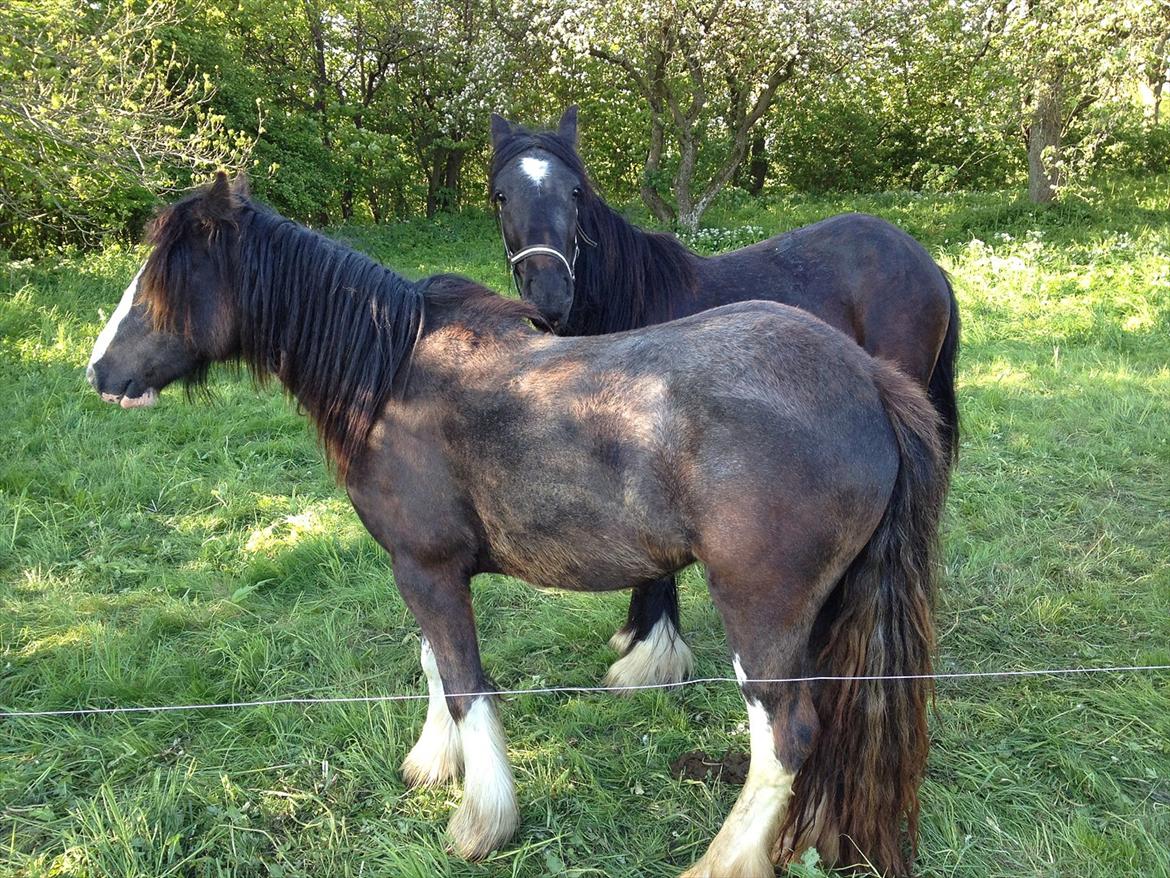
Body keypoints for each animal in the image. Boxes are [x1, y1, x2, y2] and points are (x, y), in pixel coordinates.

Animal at [86, 175, 945, 875]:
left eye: (162, 281)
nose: (99, 370)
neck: (394, 376)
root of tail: (866, 381)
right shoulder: (421, 571)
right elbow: (435, 665)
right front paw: (434, 763)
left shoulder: (425, 567)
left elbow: (465, 682)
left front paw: (483, 817)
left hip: (762, 611)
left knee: (787, 735)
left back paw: (726, 860)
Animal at [491, 108, 959, 693]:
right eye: (500, 195)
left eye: (575, 191)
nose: (549, 297)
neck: (633, 302)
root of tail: (924, 260)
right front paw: (637, 636)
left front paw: (651, 655)